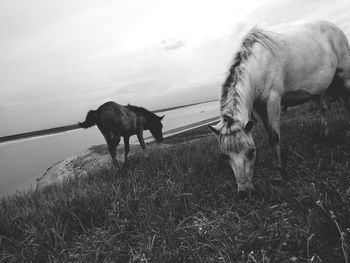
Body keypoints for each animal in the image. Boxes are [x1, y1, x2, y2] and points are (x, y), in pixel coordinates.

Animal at [209, 20, 350, 193]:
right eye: (225, 156)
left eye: (251, 151)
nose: (244, 191)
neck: (258, 64)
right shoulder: (259, 107)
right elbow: (269, 132)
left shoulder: (273, 100)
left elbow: (274, 136)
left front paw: (280, 172)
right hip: (321, 89)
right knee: (324, 109)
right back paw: (323, 137)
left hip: (344, 77)